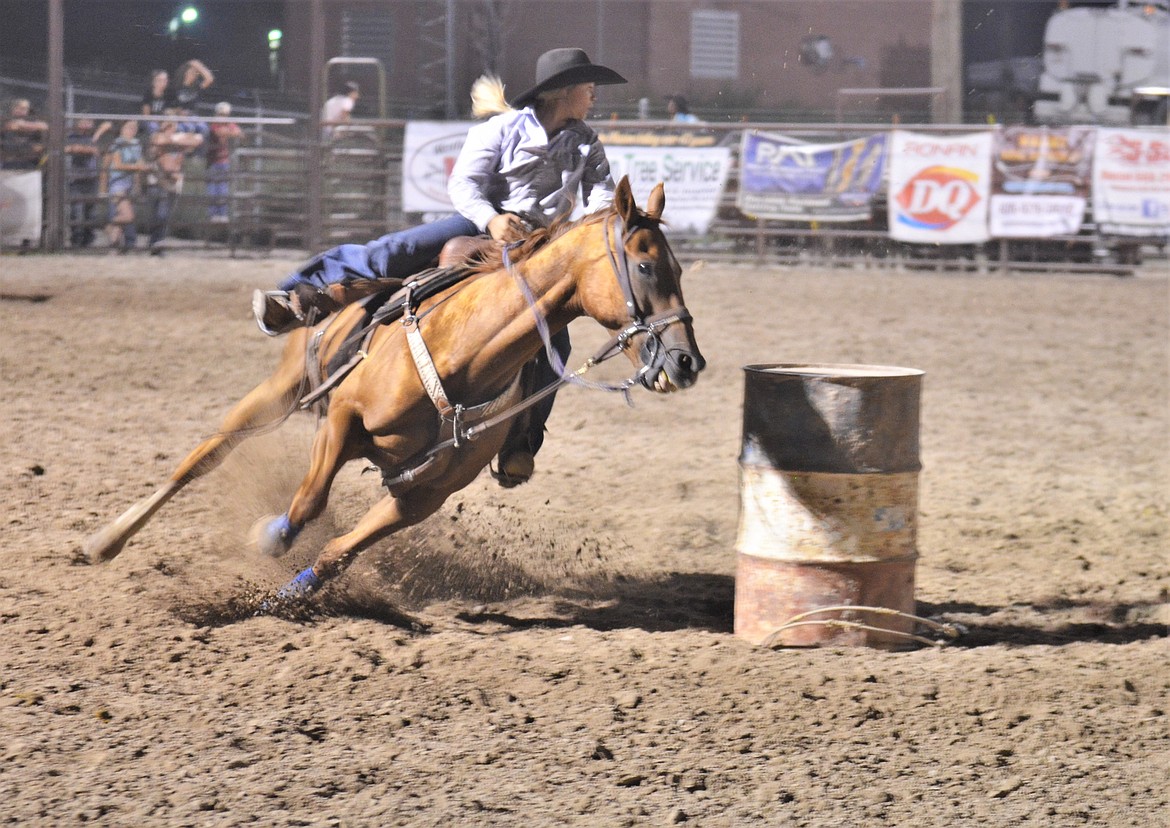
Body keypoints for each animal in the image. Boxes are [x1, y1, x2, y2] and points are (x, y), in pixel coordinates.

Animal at [84, 177, 702, 603]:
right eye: (646, 266)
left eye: (679, 269)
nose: (687, 362)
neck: (461, 356)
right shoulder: (340, 421)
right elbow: (308, 502)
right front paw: (269, 537)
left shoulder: (424, 494)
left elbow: (339, 552)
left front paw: (283, 597)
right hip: (281, 389)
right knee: (200, 459)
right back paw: (105, 540)